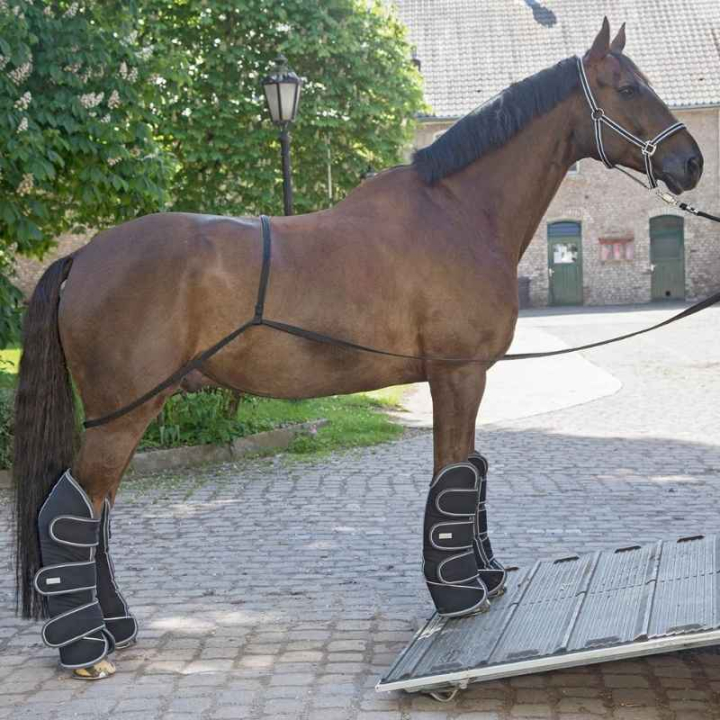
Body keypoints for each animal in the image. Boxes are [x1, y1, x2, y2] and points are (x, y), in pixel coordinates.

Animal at [13, 18, 703, 678]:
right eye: (627, 87)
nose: (691, 161)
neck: (458, 213)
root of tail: (84, 256)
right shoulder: (458, 375)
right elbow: (452, 476)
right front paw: (461, 595)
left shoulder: (466, 377)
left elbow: (470, 473)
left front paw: (485, 577)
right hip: (125, 414)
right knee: (68, 510)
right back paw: (87, 651)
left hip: (130, 412)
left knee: (94, 513)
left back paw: (115, 628)